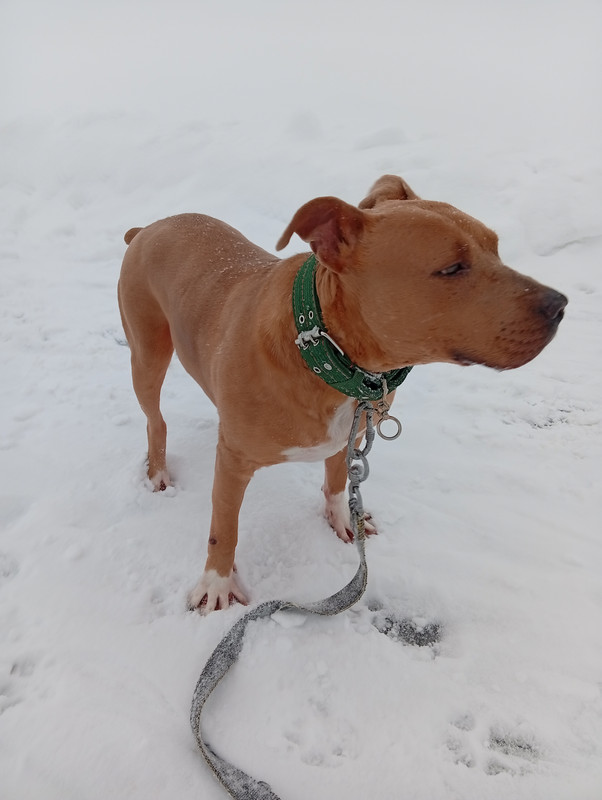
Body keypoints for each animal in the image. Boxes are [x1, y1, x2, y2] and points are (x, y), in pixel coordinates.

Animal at [118, 175, 566, 613]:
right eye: (452, 268)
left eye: (496, 248)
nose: (560, 305)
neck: (322, 348)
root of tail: (147, 229)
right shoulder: (233, 461)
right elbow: (224, 528)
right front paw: (216, 583)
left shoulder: (349, 432)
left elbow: (337, 481)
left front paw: (344, 520)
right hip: (146, 356)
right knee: (155, 420)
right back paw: (157, 470)